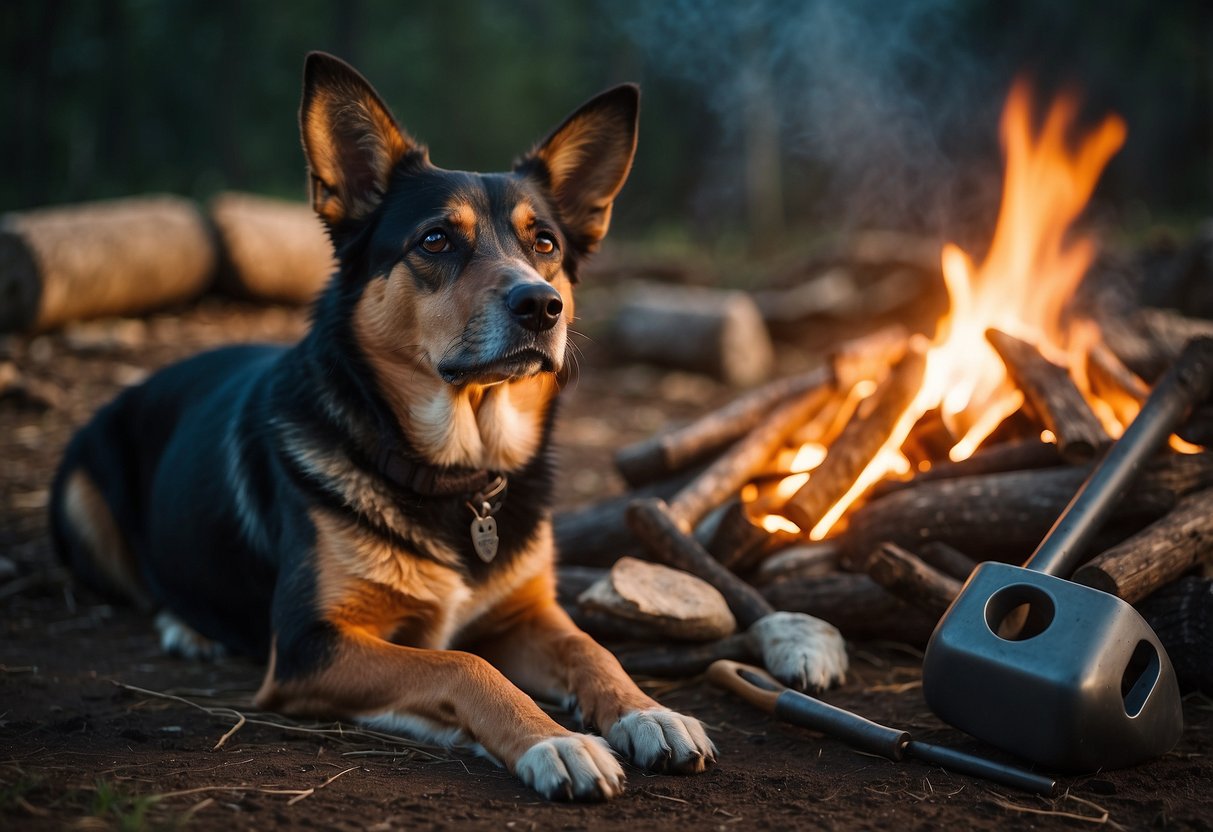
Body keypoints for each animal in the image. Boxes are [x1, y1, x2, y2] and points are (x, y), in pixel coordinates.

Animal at [49, 50, 718, 800]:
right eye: (436, 239)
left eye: (543, 242)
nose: (542, 305)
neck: (455, 474)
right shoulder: (312, 646)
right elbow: (461, 664)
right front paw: (555, 741)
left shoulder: (525, 613)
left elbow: (590, 646)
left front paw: (648, 711)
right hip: (81, 503)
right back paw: (188, 628)